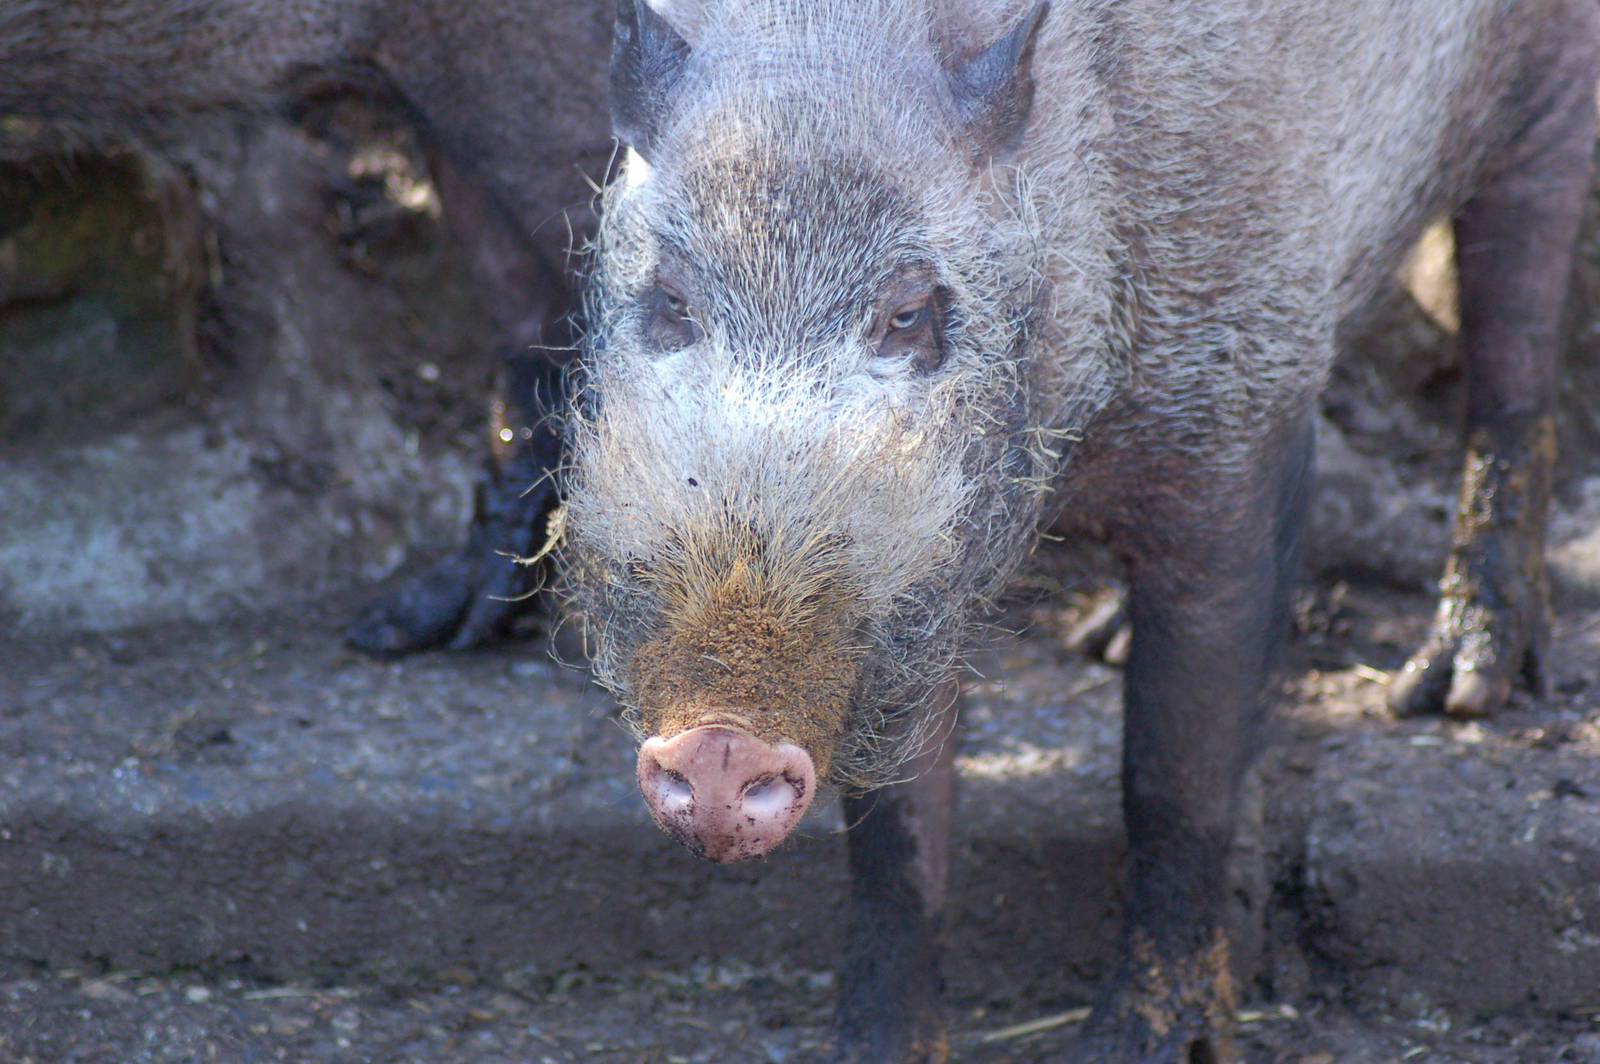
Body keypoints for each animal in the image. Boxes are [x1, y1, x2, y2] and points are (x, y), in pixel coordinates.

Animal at [566, 1, 1600, 1061]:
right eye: (672, 301)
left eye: (909, 314)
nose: (719, 745)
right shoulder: (918, 578)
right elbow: (897, 835)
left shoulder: (1239, 421)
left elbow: (1175, 776)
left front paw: (1134, 1043)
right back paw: (1104, 640)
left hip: (1552, 97)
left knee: (1515, 359)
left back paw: (1451, 694)